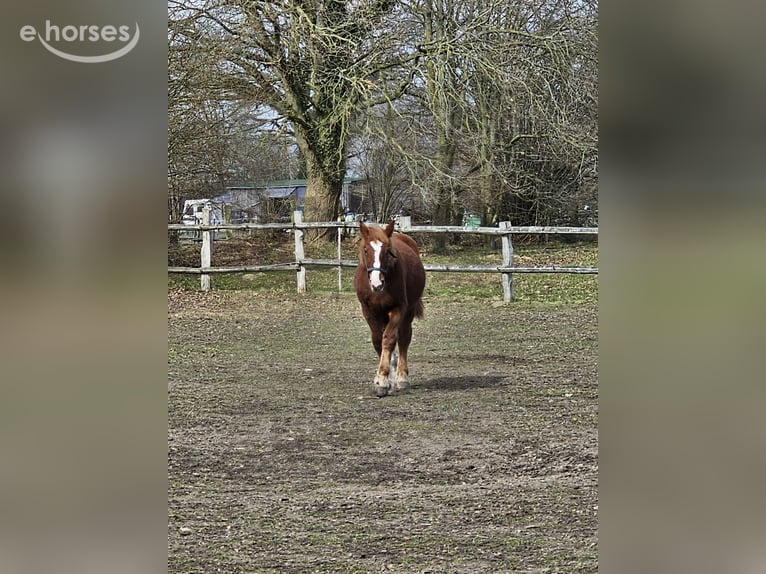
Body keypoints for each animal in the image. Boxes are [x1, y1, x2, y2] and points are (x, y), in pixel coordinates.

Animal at [354, 220, 426, 397]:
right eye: (366, 250)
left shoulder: (398, 308)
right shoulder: (369, 311)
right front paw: (381, 379)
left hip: (409, 311)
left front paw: (383, 380)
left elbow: (389, 339)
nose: (376, 283)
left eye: (387, 252)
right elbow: (377, 340)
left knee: (404, 338)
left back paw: (401, 378)